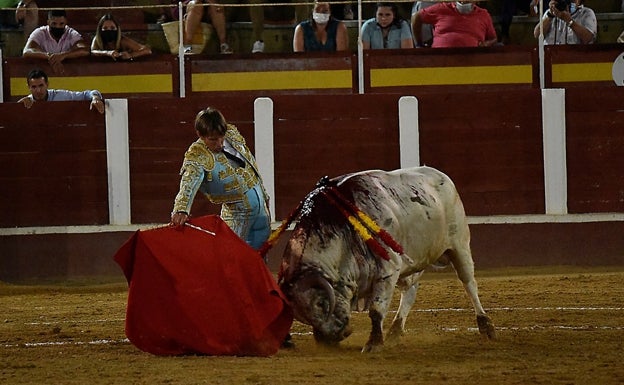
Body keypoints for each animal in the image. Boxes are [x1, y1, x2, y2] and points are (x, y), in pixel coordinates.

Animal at [280, 165, 494, 352]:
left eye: (320, 304)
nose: (329, 340)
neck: (342, 234)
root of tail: (441, 176)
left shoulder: (387, 272)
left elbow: (376, 311)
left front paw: (373, 344)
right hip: (413, 261)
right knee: (410, 292)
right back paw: (395, 331)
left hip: (459, 246)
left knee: (469, 283)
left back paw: (486, 326)